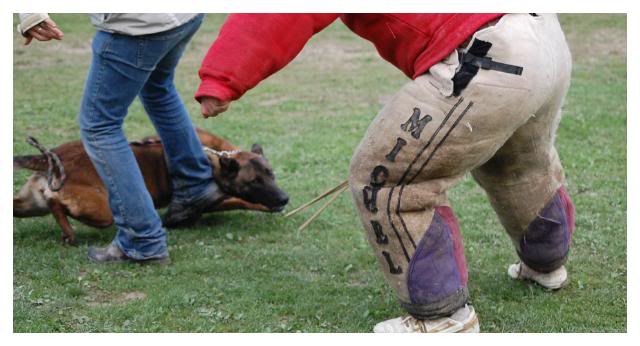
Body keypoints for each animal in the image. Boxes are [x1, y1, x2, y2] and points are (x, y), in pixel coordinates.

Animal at [13, 127, 288, 243]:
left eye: (271, 174)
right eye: (255, 181)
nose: (284, 198)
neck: (214, 158)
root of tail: (51, 157)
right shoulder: (209, 201)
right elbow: (240, 200)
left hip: (28, 205)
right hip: (101, 211)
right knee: (55, 203)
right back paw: (69, 232)